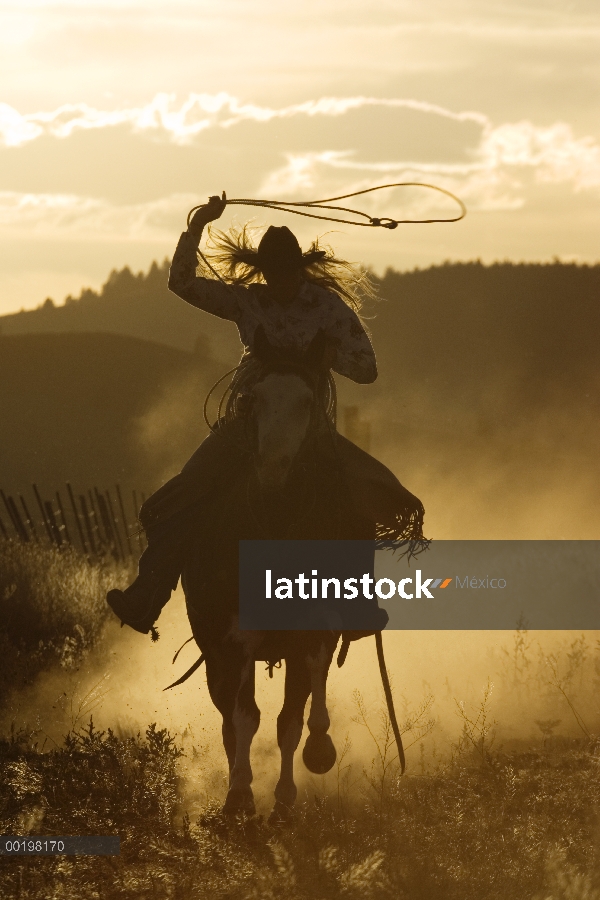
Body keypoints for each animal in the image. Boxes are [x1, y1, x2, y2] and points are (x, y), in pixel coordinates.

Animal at [178, 330, 378, 824]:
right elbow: (243, 718)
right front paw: (238, 796)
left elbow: (289, 720)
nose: (272, 467)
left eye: (307, 400)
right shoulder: (230, 642)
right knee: (229, 717)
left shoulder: (308, 636)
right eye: (253, 398)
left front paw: (286, 799)